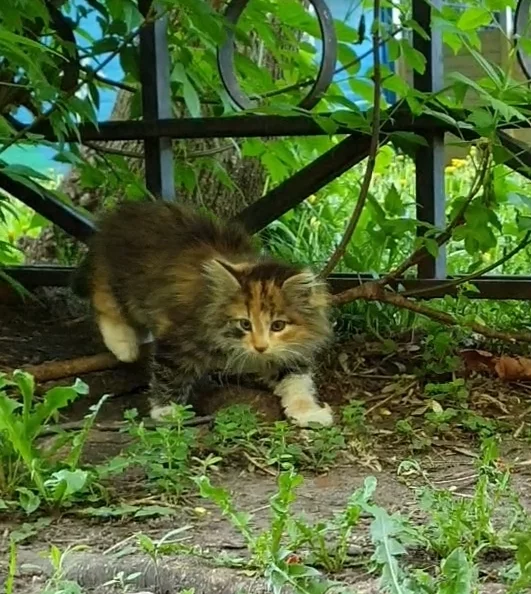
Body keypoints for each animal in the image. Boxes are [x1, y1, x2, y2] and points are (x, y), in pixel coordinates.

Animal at [76, 201, 332, 424]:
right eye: (245, 324)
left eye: (278, 326)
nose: (260, 347)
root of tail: (120, 215)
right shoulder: (178, 338)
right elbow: (169, 372)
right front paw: (166, 411)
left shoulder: (287, 352)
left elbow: (296, 380)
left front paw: (308, 412)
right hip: (119, 280)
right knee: (103, 299)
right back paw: (123, 345)